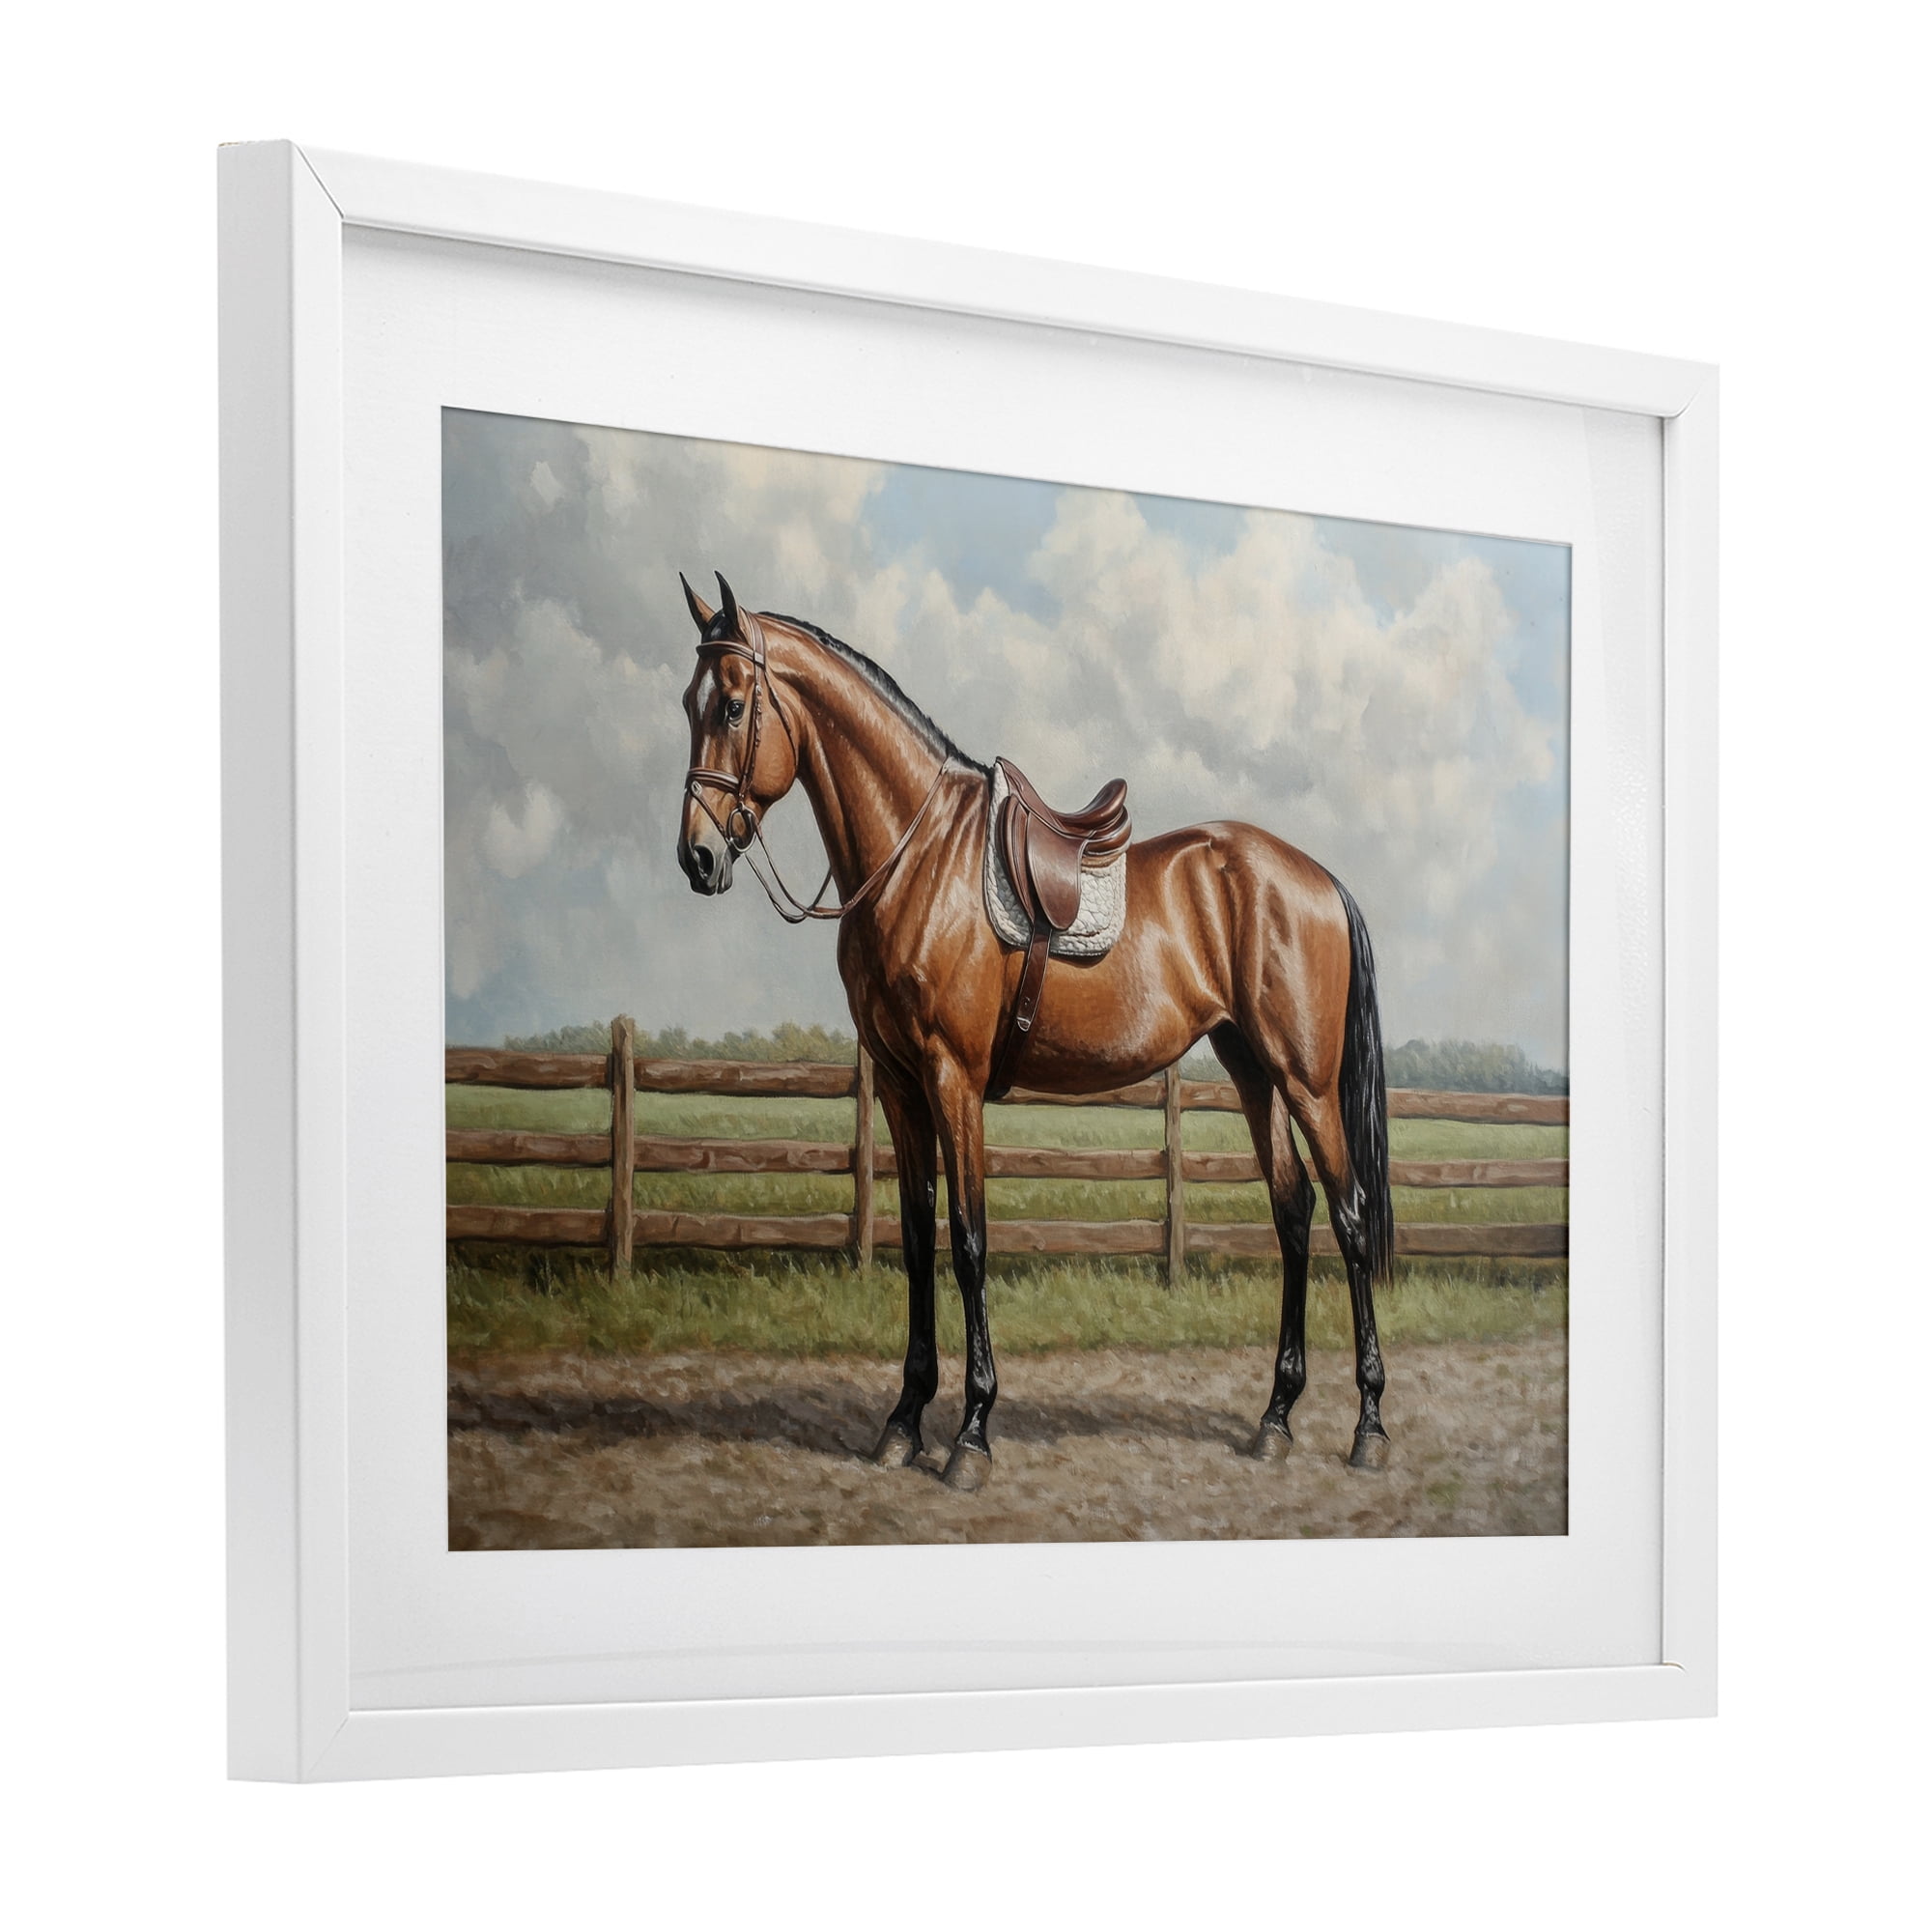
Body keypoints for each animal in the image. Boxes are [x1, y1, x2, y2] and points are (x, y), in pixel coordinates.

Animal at [675, 572, 1394, 1491]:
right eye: (688, 703)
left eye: (733, 706)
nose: (696, 857)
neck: (916, 856)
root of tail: (1318, 879)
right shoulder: (901, 1086)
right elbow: (917, 1238)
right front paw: (903, 1420)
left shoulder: (953, 1080)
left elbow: (969, 1241)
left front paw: (972, 1433)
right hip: (1253, 1072)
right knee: (1294, 1215)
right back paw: (1275, 1419)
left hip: (1307, 1081)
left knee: (1349, 1215)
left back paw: (1369, 1425)